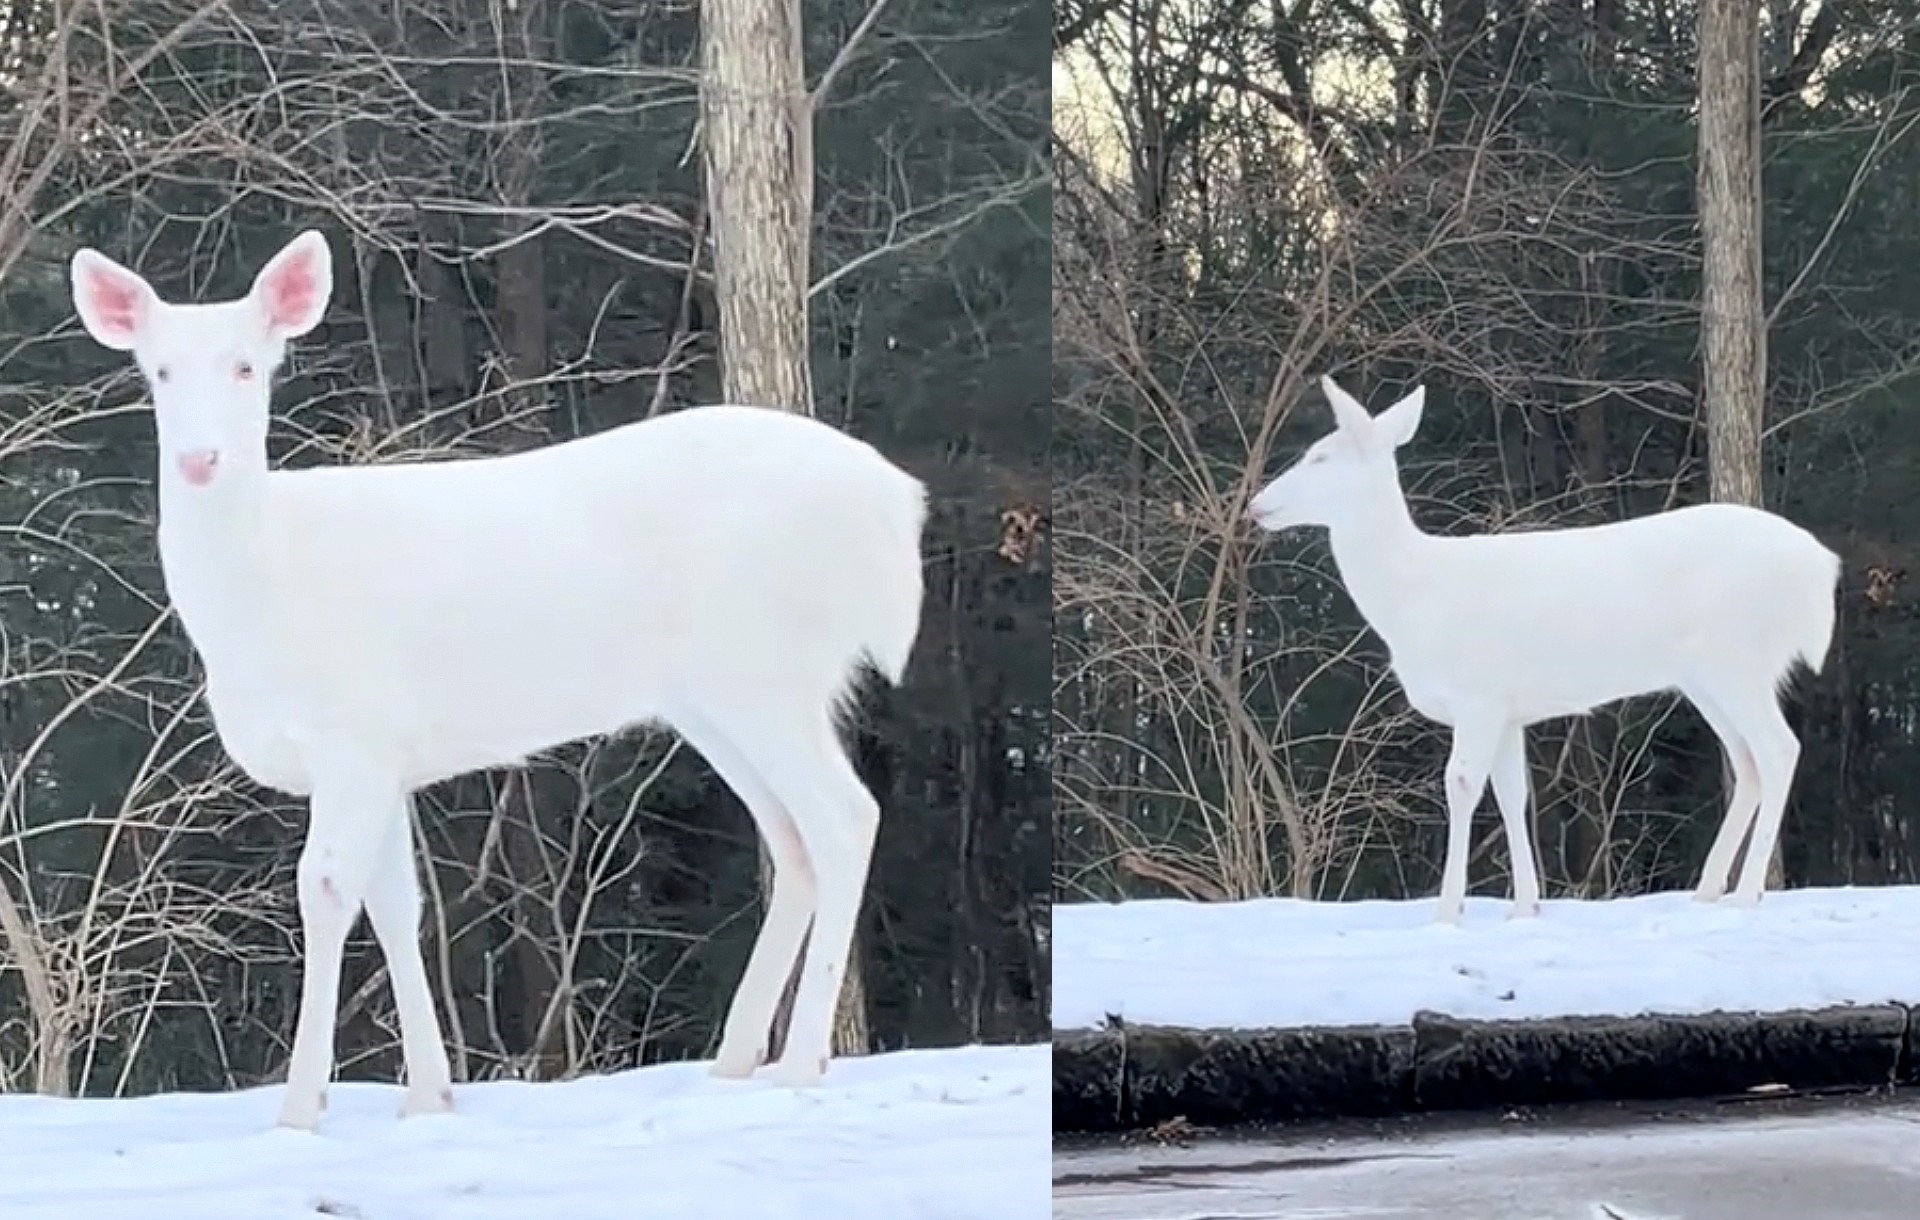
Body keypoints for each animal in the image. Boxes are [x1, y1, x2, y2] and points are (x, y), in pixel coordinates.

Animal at [67, 231, 921, 1137]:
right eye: (157, 370)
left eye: (247, 366)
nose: (200, 459)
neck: (263, 592)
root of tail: (895, 504)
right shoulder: (388, 754)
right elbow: (397, 903)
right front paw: (429, 1095)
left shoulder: (353, 733)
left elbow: (325, 892)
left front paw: (300, 1111)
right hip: (720, 697)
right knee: (792, 839)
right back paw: (733, 1061)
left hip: (766, 667)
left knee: (844, 818)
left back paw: (801, 1061)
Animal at [1251, 374, 1835, 926]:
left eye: (1320, 456)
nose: (1257, 504)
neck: (1414, 599)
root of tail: (1822, 570)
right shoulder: (1509, 709)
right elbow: (1514, 794)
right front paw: (1525, 906)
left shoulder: (1479, 695)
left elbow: (1461, 785)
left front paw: (1447, 911)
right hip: (1707, 677)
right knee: (1747, 760)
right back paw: (1709, 890)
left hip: (1738, 659)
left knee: (1779, 749)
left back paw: (1747, 893)